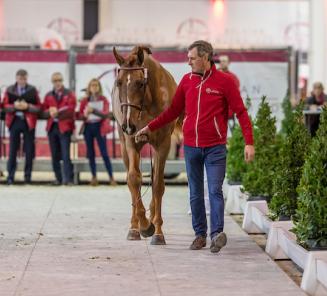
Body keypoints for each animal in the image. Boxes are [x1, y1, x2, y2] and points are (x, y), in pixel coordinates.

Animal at [112, 46, 179, 245]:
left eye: (141, 83)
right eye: (119, 82)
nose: (128, 125)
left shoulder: (163, 144)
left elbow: (158, 185)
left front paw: (157, 232)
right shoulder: (131, 142)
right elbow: (134, 179)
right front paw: (143, 225)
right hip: (124, 144)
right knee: (133, 181)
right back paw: (134, 226)